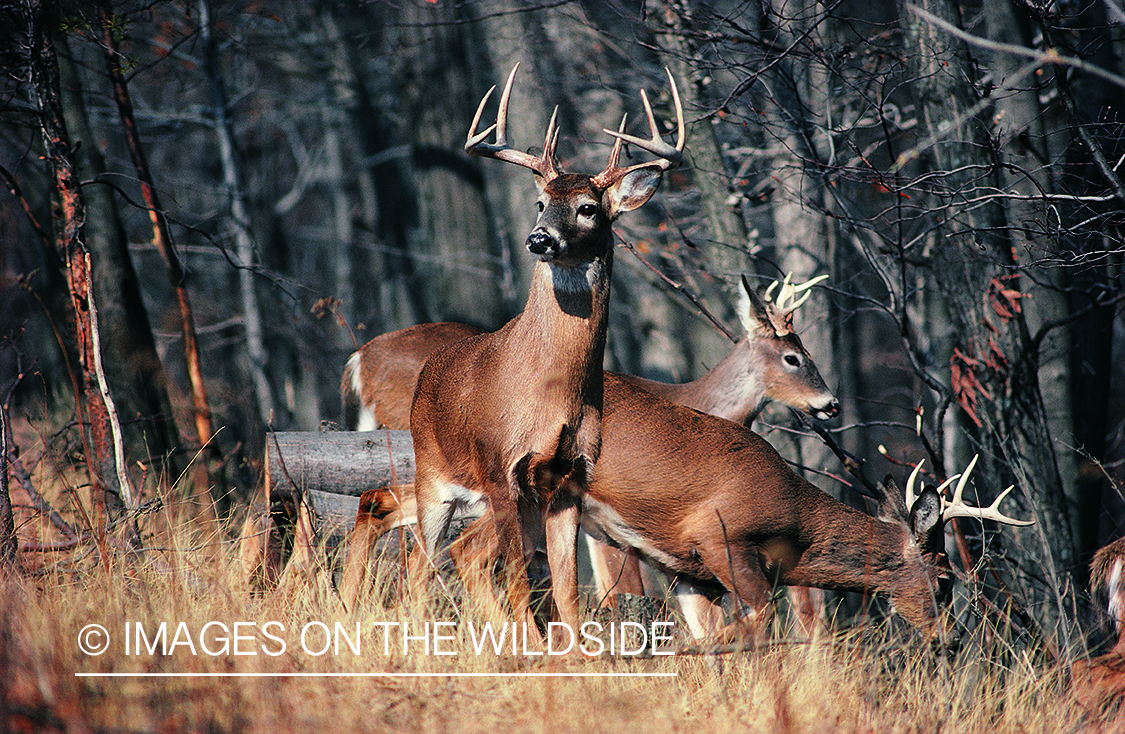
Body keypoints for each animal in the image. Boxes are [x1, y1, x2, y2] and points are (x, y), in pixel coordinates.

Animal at [407, 64, 684, 634]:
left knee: (466, 554)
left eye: (588, 208)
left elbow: (567, 590)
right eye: (540, 202)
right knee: (422, 565)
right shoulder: (500, 467)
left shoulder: (570, 476)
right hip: (434, 476)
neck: (551, 395)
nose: (539, 238)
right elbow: (518, 579)